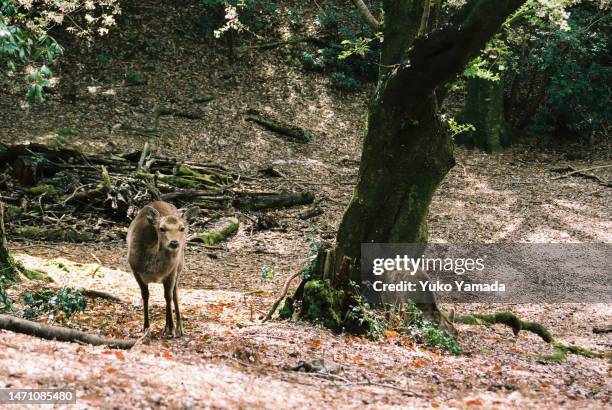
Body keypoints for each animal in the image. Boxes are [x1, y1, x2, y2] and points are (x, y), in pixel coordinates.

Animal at [127, 200, 198, 338]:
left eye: (181, 228)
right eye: (161, 228)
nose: (174, 243)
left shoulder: (171, 272)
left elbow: (168, 296)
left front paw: (171, 329)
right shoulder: (135, 270)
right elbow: (145, 296)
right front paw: (146, 327)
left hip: (180, 264)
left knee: (174, 292)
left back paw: (179, 328)